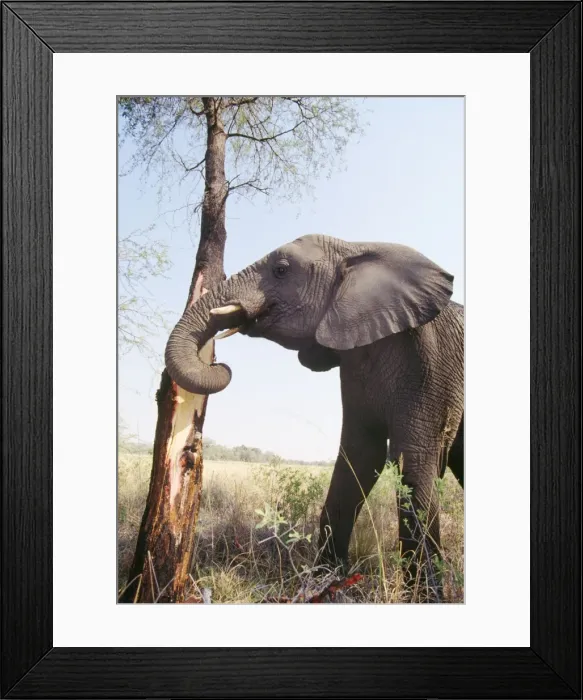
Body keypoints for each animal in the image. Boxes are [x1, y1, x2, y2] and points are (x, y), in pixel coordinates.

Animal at [165, 234, 464, 592]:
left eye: (281, 270)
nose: (219, 363)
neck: (355, 249)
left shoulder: (429, 362)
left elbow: (412, 463)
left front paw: (425, 594)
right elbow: (359, 457)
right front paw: (326, 582)